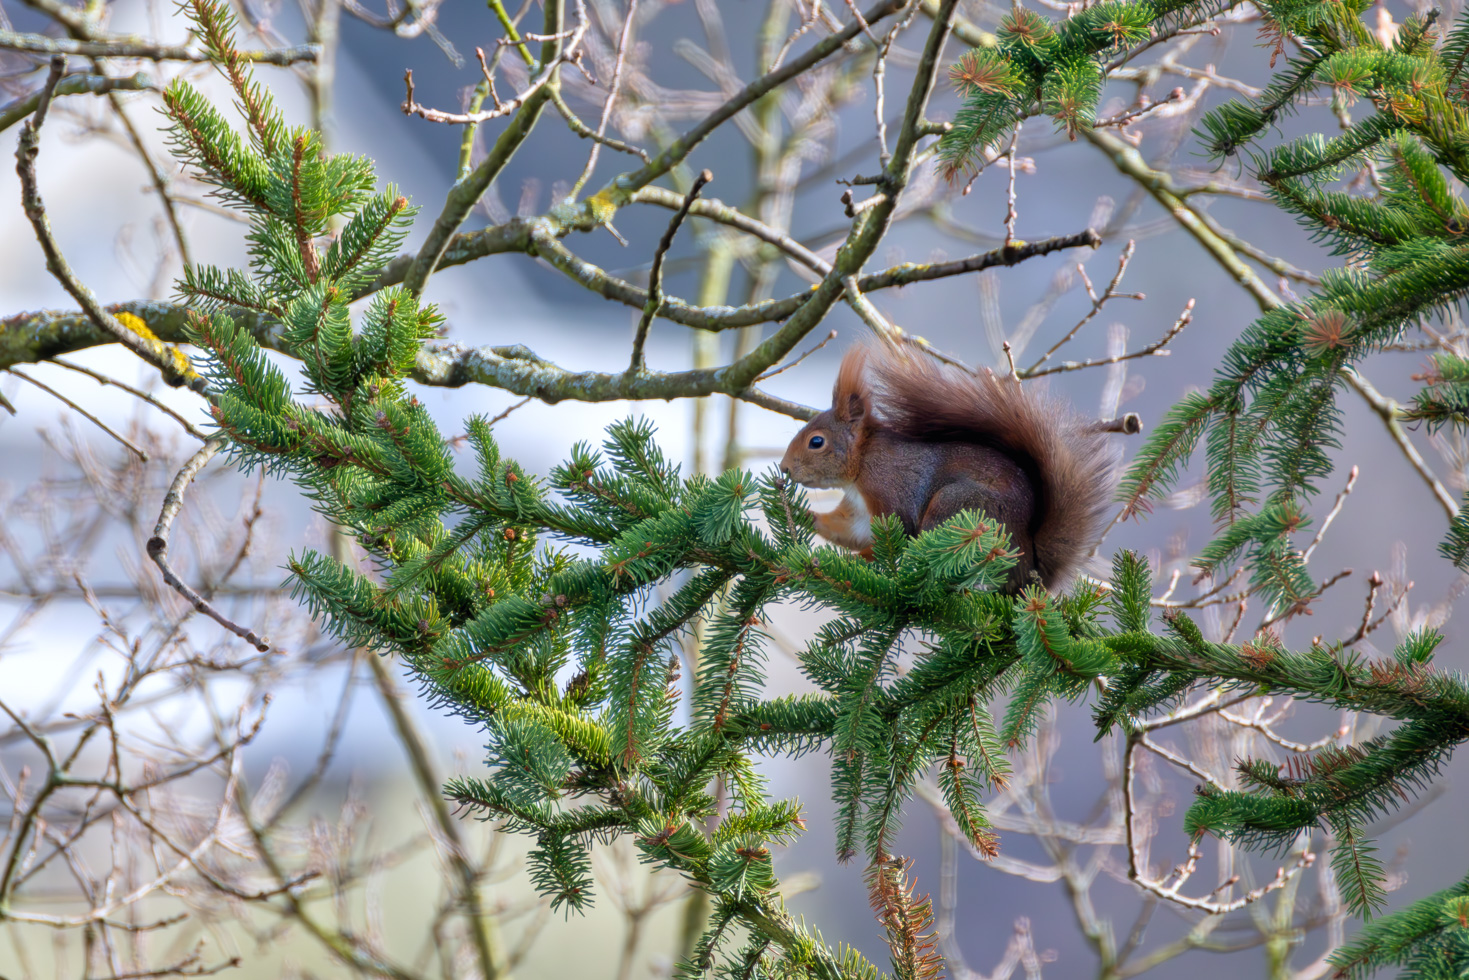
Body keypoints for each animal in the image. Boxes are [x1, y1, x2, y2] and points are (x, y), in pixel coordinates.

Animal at [779, 343, 1119, 592]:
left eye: (816, 442)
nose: (784, 469)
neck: (862, 463)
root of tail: (1029, 573)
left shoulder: (890, 489)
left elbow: (893, 538)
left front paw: (853, 561)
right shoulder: (859, 511)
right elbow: (849, 530)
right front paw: (801, 513)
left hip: (957, 507)